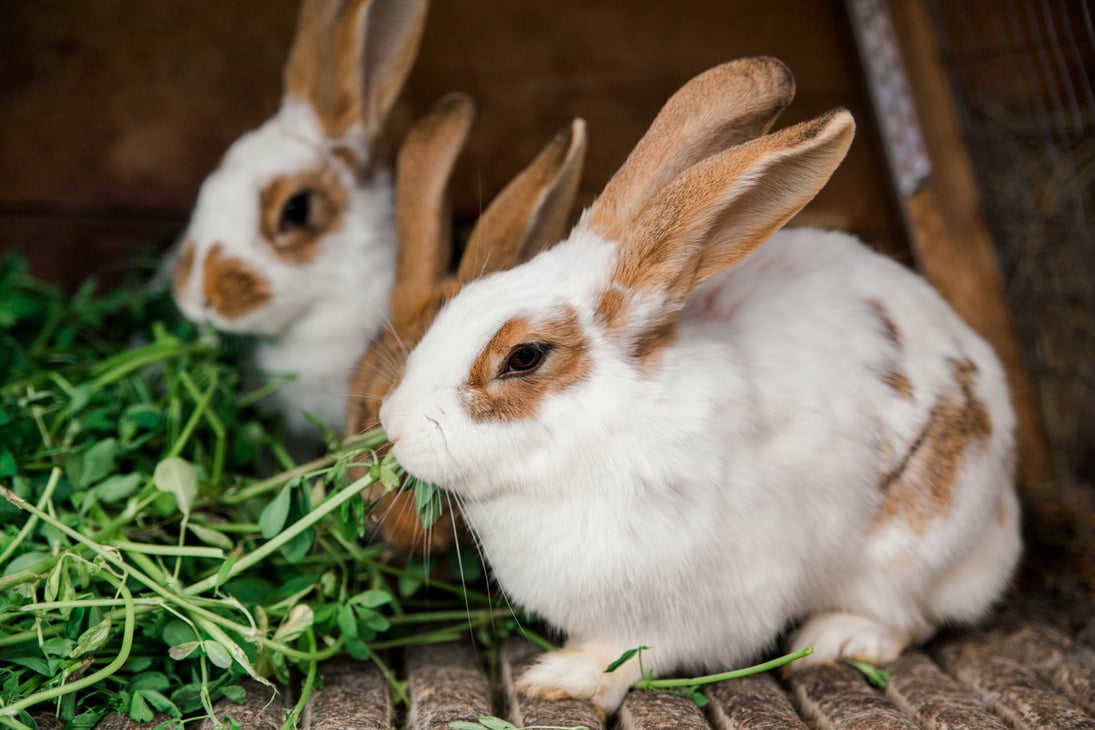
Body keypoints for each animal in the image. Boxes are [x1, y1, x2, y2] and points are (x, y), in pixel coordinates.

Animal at [381, 58, 1020, 713]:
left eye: (524, 357)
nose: (392, 423)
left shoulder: (704, 603)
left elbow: (634, 652)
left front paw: (564, 677)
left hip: (909, 547)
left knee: (908, 616)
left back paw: (838, 638)